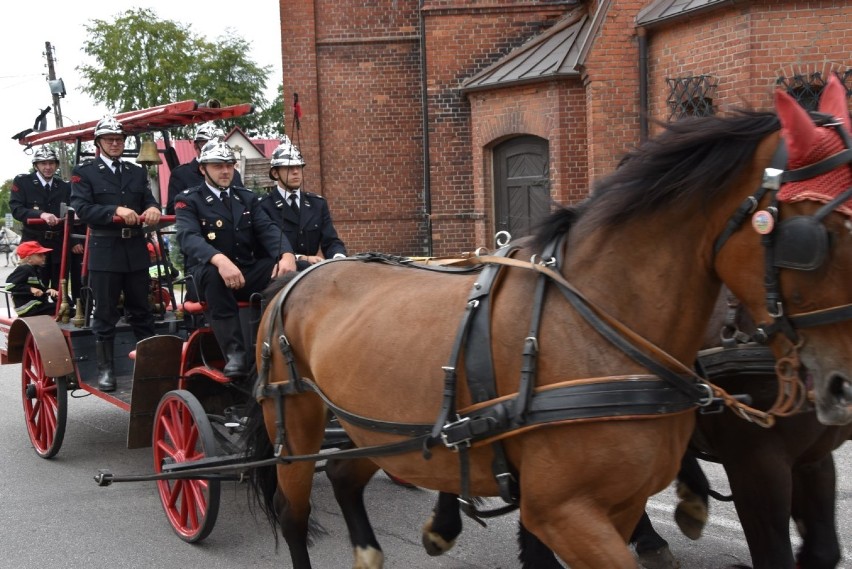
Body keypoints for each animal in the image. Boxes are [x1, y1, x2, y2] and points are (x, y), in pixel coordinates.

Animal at [251, 77, 852, 564]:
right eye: (813, 237)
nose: (842, 386)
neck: (598, 329)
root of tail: (303, 273)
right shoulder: (568, 511)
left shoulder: (631, 501)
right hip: (296, 421)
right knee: (290, 511)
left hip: (377, 431)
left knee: (344, 474)